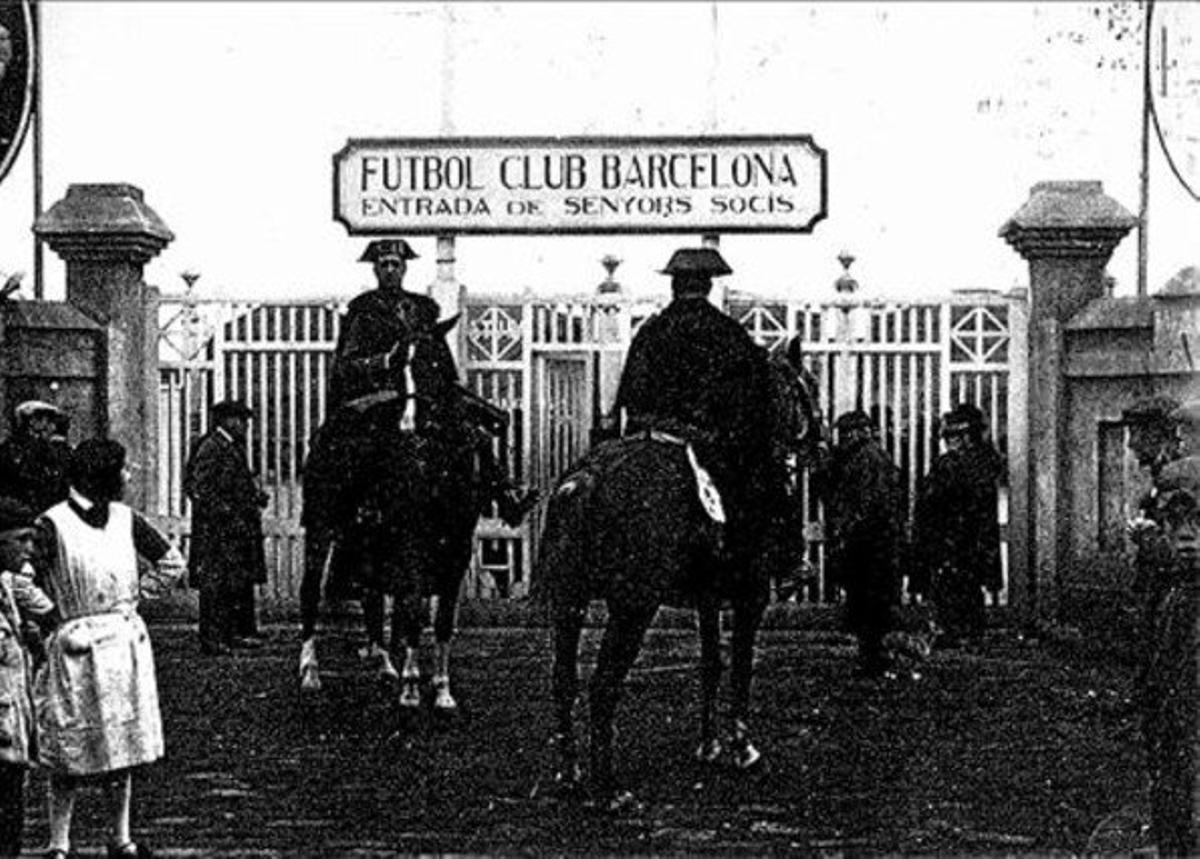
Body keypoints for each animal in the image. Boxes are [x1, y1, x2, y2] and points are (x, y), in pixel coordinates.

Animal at [297, 314, 489, 710]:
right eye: (399, 367)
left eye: (434, 363)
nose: (409, 426)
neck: (433, 461)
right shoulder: (411, 542)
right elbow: (412, 609)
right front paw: (412, 687)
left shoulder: (458, 547)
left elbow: (441, 620)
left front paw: (442, 690)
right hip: (322, 527)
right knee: (311, 591)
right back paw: (310, 672)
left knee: (370, 594)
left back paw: (386, 666)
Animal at [537, 343, 811, 806]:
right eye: (802, 387)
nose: (819, 438)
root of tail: (585, 480)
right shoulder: (751, 596)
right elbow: (740, 667)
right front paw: (743, 749)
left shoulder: (707, 599)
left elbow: (711, 663)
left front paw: (708, 745)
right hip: (633, 607)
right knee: (603, 684)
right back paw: (608, 789)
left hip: (569, 601)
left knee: (564, 680)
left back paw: (571, 774)